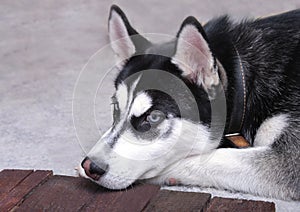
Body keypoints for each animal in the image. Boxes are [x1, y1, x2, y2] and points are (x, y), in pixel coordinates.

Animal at [78, 5, 298, 200]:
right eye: (116, 106)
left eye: (154, 117)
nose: (90, 167)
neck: (244, 82)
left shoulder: (289, 160)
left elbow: (210, 159)